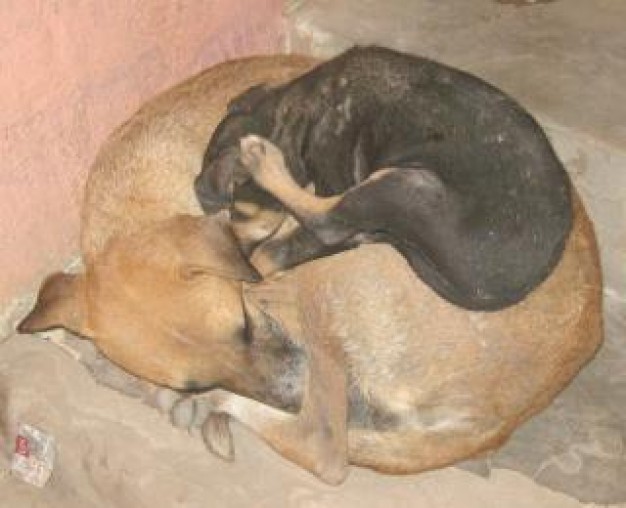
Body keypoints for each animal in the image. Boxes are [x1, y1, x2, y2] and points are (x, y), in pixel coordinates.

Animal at [195, 46, 572, 310]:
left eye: (238, 212)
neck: (301, 107)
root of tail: (502, 292)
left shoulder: (336, 175)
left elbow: (278, 250)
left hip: (406, 185)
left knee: (328, 222)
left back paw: (265, 160)